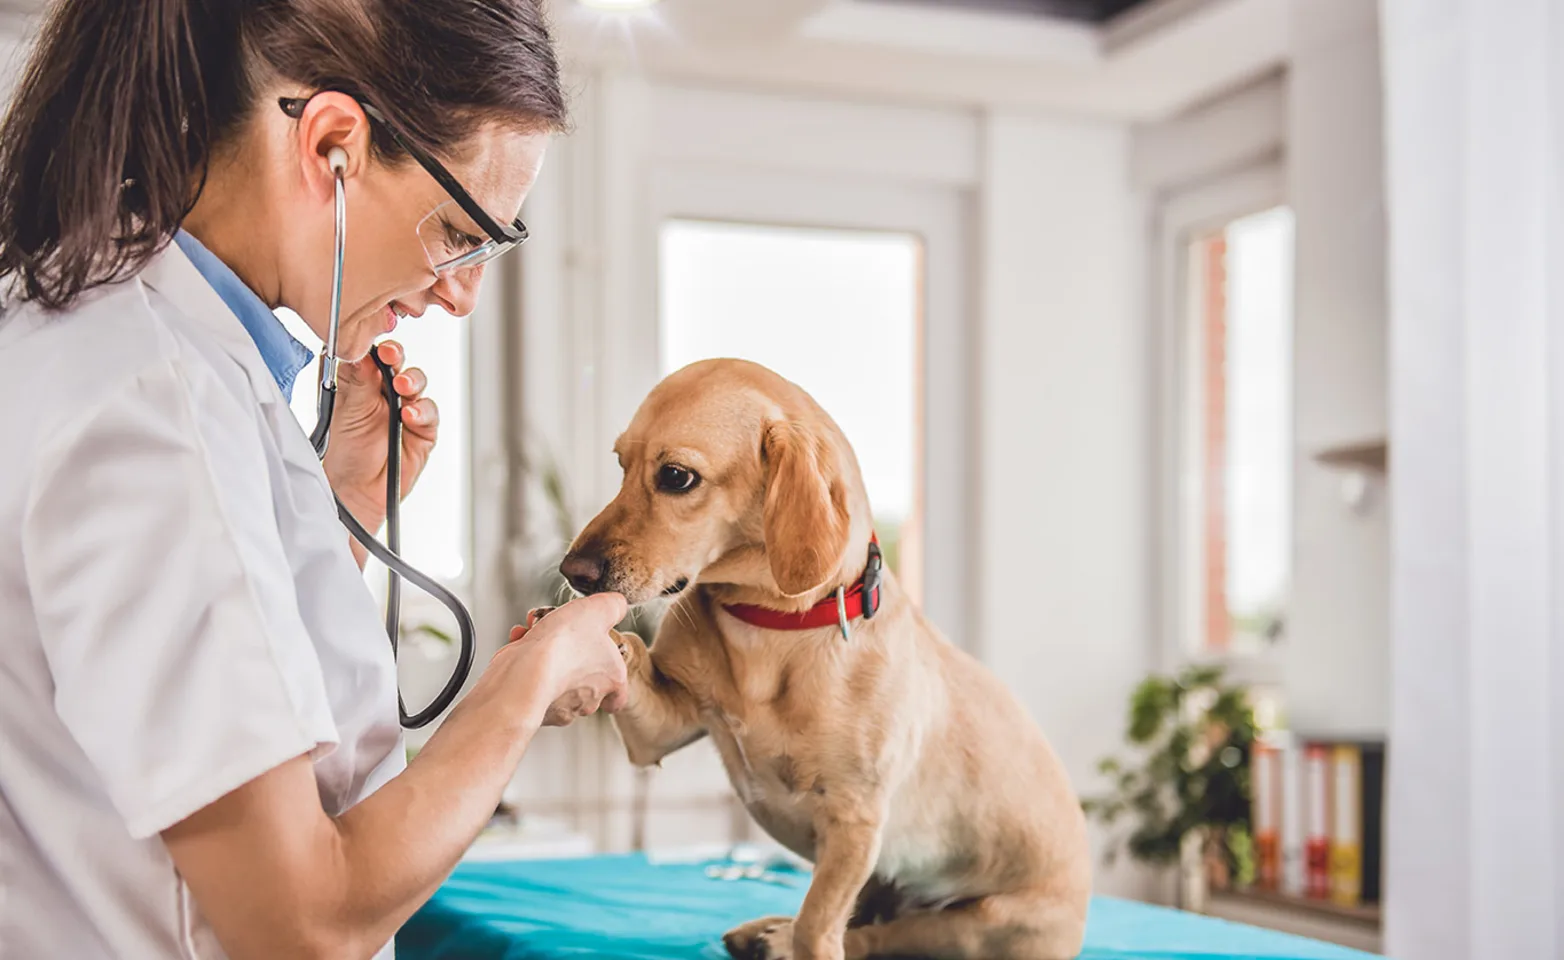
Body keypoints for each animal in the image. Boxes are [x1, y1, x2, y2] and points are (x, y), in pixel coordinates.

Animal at [556, 362, 1094, 960]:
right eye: (620, 465)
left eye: (676, 476)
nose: (571, 572)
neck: (768, 628)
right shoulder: (660, 731)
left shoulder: (853, 823)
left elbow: (819, 922)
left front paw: (801, 938)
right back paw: (769, 931)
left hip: (980, 923)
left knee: (873, 936)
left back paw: (781, 938)